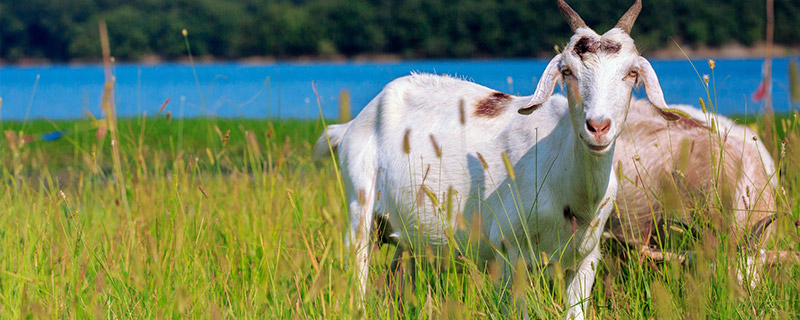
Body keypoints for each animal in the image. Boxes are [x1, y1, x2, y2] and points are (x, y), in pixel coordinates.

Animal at [316, 0, 680, 318]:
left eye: (631, 73)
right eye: (567, 71)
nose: (598, 127)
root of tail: (353, 124)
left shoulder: (585, 258)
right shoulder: (509, 254)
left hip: (407, 238)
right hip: (359, 207)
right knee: (359, 272)